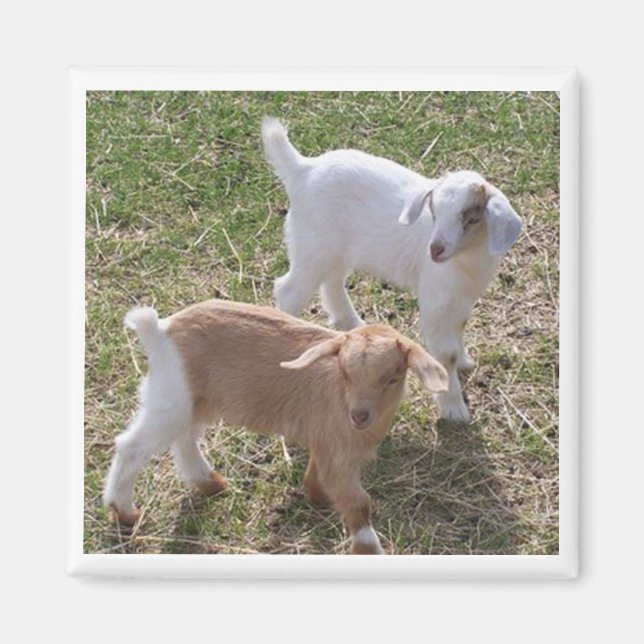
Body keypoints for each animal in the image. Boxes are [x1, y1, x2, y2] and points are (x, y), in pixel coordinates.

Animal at [103, 300, 447, 554]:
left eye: (392, 378)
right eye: (345, 373)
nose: (359, 416)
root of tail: (160, 331)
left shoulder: (325, 442)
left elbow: (317, 476)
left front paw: (315, 495)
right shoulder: (338, 452)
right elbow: (359, 503)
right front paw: (369, 549)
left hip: (193, 400)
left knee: (184, 437)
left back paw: (209, 482)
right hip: (171, 396)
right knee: (132, 446)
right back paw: (124, 512)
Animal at [262, 117, 522, 423]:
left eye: (470, 218)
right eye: (434, 212)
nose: (435, 250)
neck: (467, 259)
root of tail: (303, 167)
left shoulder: (461, 298)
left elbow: (459, 330)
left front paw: (465, 362)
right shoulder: (436, 299)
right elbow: (445, 353)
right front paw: (454, 410)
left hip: (333, 249)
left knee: (332, 281)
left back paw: (353, 326)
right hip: (311, 245)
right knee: (289, 290)